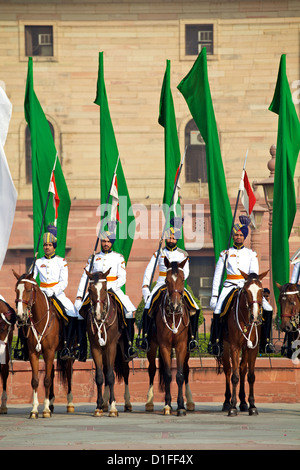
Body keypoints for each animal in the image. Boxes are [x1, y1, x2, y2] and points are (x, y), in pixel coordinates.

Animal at [13, 272, 75, 418]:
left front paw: (45, 410)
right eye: (16, 290)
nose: (20, 315)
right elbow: (36, 380)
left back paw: (69, 403)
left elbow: (46, 380)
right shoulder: (33, 353)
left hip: (66, 353)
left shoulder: (49, 351)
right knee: (51, 373)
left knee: (68, 373)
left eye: (28, 290)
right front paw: (35, 409)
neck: (39, 320)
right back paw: (51, 402)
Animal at [84, 270, 132, 416]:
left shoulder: (111, 346)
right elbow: (100, 376)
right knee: (105, 370)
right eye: (90, 289)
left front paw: (113, 407)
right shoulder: (95, 347)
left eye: (105, 289)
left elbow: (111, 376)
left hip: (121, 348)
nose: (98, 314)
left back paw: (127, 403)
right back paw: (105, 403)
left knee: (125, 371)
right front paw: (99, 406)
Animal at [146, 258, 195, 416]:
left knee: (186, 370)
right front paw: (167, 405)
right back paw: (149, 402)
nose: (175, 306)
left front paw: (181, 406)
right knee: (152, 370)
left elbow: (179, 375)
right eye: (166, 280)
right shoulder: (164, 346)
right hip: (152, 347)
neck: (173, 316)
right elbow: (167, 374)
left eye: (183, 279)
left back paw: (189, 402)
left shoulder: (181, 346)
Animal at [221, 270, 268, 416]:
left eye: (261, 291)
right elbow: (234, 376)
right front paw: (232, 407)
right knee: (228, 370)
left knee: (242, 369)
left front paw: (252, 405)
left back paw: (243, 402)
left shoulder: (253, 347)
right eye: (246, 291)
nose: (255, 317)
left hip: (246, 347)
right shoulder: (234, 346)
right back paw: (227, 402)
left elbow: (251, 375)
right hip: (226, 345)